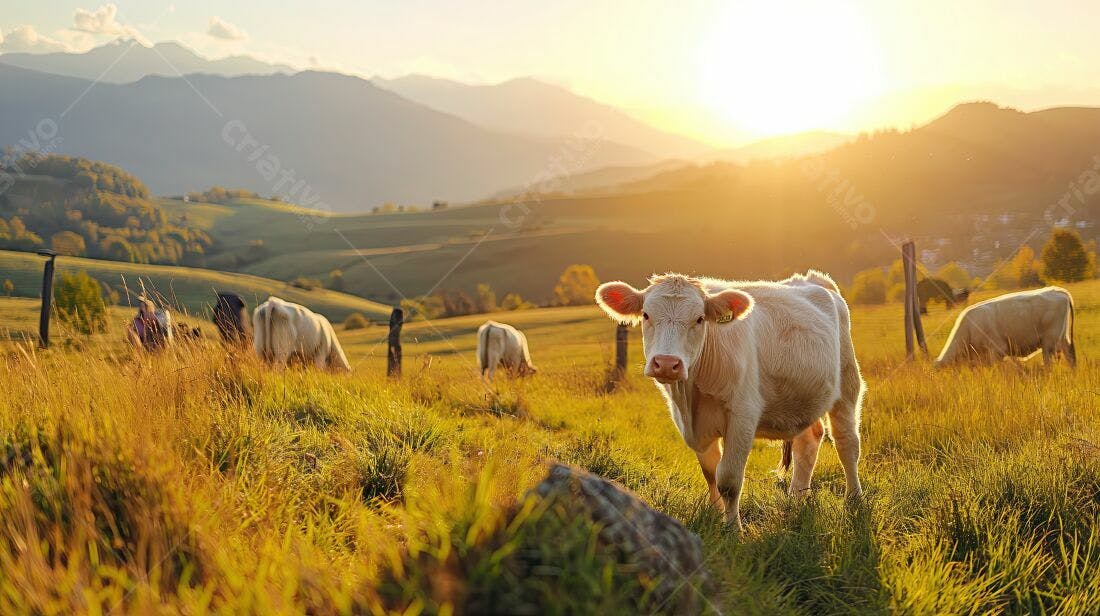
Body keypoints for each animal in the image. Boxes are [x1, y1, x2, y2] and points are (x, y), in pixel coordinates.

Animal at [595, 270, 864, 531]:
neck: (691, 398)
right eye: (646, 314)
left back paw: (854, 501)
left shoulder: (742, 416)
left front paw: (734, 529)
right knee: (808, 442)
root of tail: (813, 279)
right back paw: (796, 500)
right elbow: (711, 474)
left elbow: (728, 479)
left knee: (847, 443)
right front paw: (717, 518)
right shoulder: (696, 428)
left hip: (848, 384)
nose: (667, 363)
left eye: (699, 319)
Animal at [935, 286, 1076, 368]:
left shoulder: (996, 350)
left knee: (1049, 364)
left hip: (1049, 342)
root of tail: (1058, 290)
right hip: (1062, 337)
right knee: (1070, 357)